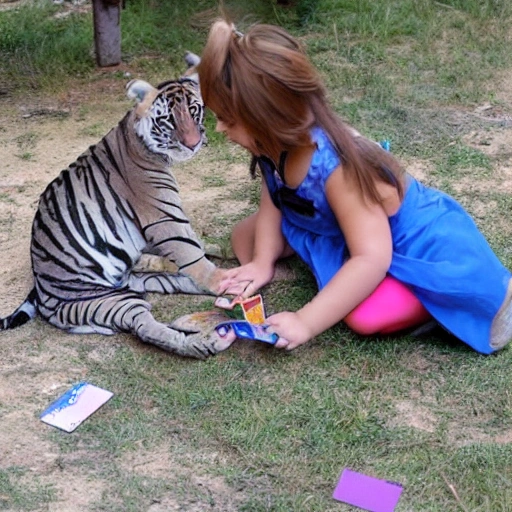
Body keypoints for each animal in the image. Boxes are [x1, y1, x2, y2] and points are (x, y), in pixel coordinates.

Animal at [0, 54, 234, 360]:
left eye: (194, 110)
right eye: (168, 120)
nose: (194, 144)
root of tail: (43, 294)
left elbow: (198, 246)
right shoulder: (164, 219)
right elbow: (192, 253)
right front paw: (222, 279)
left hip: (139, 285)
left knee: (176, 282)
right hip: (113, 301)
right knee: (147, 328)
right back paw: (208, 341)